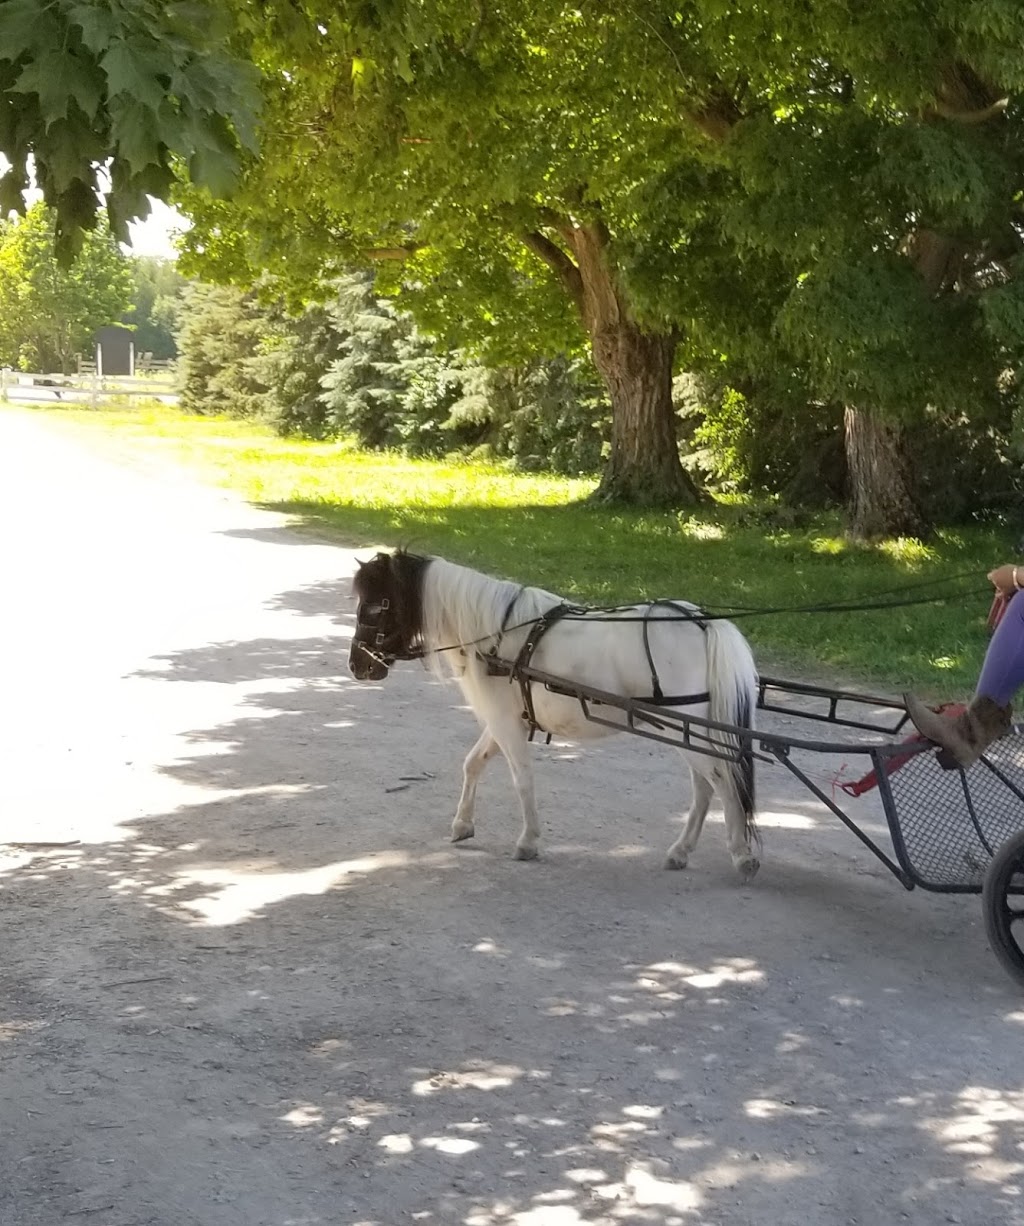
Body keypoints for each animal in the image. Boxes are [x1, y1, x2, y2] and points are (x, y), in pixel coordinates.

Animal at [353, 549, 760, 882]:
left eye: (375, 607)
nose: (357, 665)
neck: (496, 636)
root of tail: (704, 623)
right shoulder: (503, 721)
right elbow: (473, 763)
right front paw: (463, 824)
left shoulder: (506, 725)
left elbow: (522, 780)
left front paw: (528, 842)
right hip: (686, 732)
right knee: (706, 786)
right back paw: (681, 851)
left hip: (688, 730)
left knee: (723, 780)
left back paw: (742, 856)